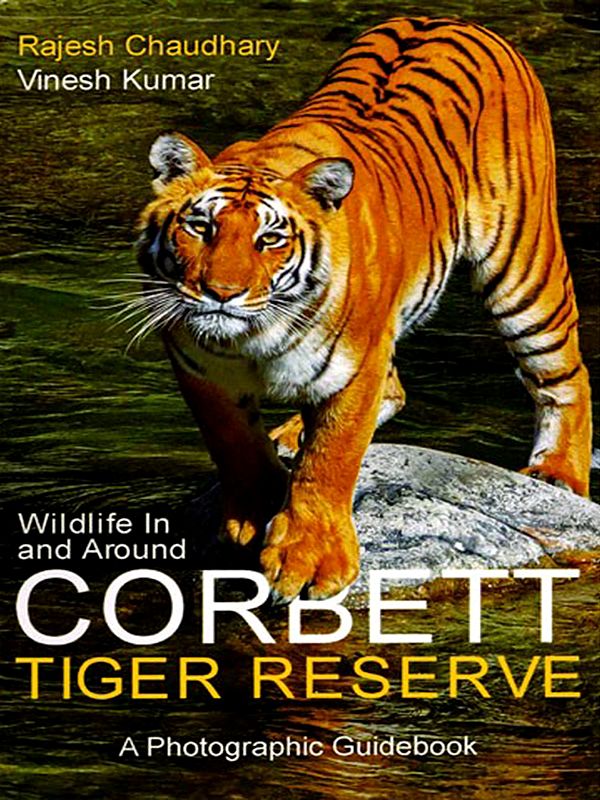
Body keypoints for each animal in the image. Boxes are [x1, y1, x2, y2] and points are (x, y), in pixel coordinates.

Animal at [136, 17, 592, 602]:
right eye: (200, 227)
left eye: (270, 238)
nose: (221, 292)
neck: (251, 338)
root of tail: (451, 19)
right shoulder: (198, 366)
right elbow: (233, 441)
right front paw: (254, 512)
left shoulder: (356, 365)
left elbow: (332, 458)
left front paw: (310, 560)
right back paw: (290, 435)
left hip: (522, 267)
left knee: (564, 373)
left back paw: (558, 473)